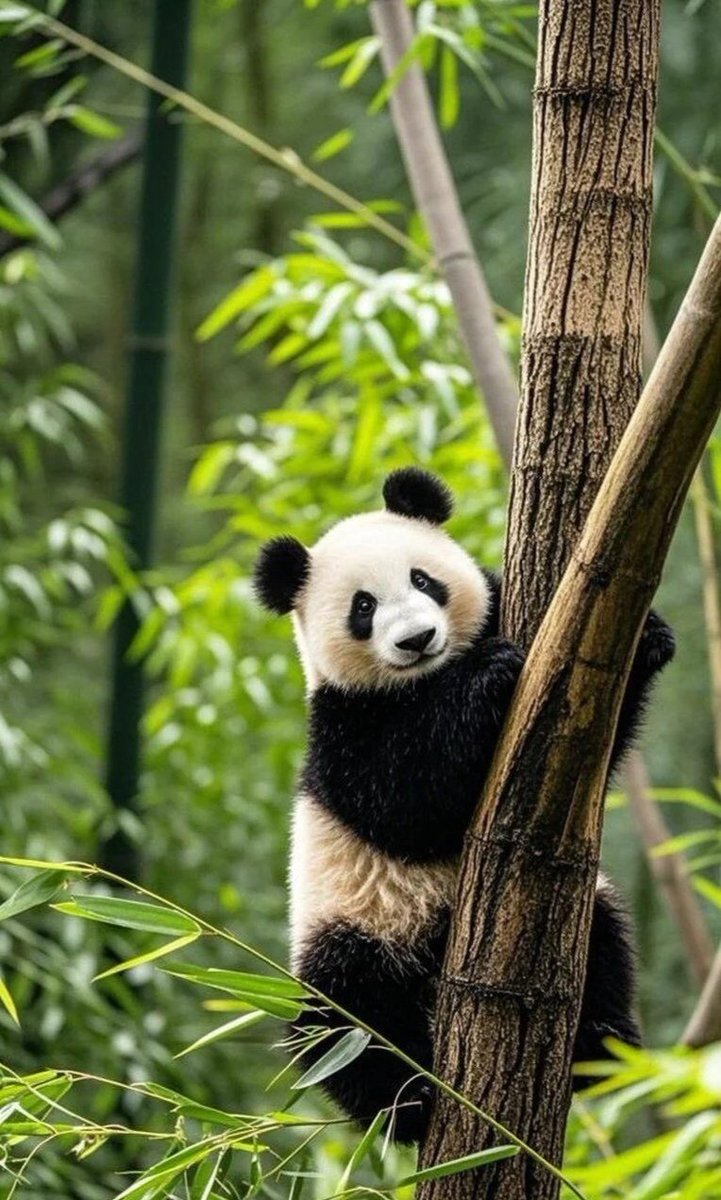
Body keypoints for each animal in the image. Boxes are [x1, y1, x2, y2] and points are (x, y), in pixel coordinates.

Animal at [253, 467, 675, 1143]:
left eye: (423, 580)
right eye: (363, 608)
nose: (417, 639)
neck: (424, 680)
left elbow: (595, 743)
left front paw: (648, 640)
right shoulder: (343, 727)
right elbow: (407, 804)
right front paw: (488, 674)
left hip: (589, 912)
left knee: (606, 942)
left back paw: (599, 1049)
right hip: (354, 927)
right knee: (343, 1022)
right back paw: (408, 1103)